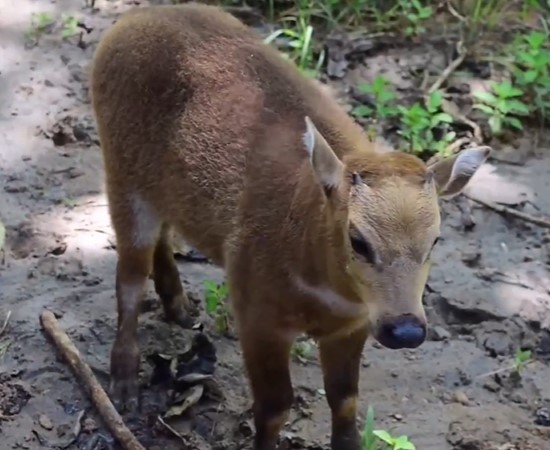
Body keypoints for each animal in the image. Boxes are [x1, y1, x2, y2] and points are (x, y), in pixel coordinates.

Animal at [89, 1, 492, 448]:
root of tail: (128, 24)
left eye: (435, 241)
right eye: (358, 240)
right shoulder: (257, 314)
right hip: (120, 170)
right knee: (129, 274)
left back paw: (179, 307)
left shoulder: (352, 325)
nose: (405, 330)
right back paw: (124, 383)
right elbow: (275, 407)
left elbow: (345, 400)